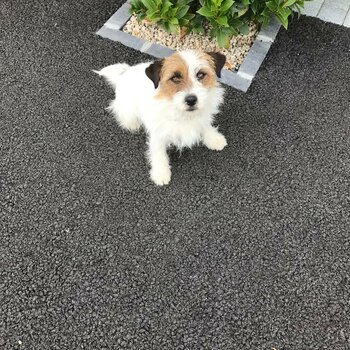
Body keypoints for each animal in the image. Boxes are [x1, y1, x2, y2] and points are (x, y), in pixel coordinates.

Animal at [95, 50, 227, 186]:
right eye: (175, 78)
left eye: (200, 74)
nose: (191, 100)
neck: (181, 112)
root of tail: (124, 73)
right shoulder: (158, 133)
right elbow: (158, 152)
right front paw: (161, 172)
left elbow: (205, 125)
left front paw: (214, 138)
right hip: (127, 108)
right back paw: (132, 124)